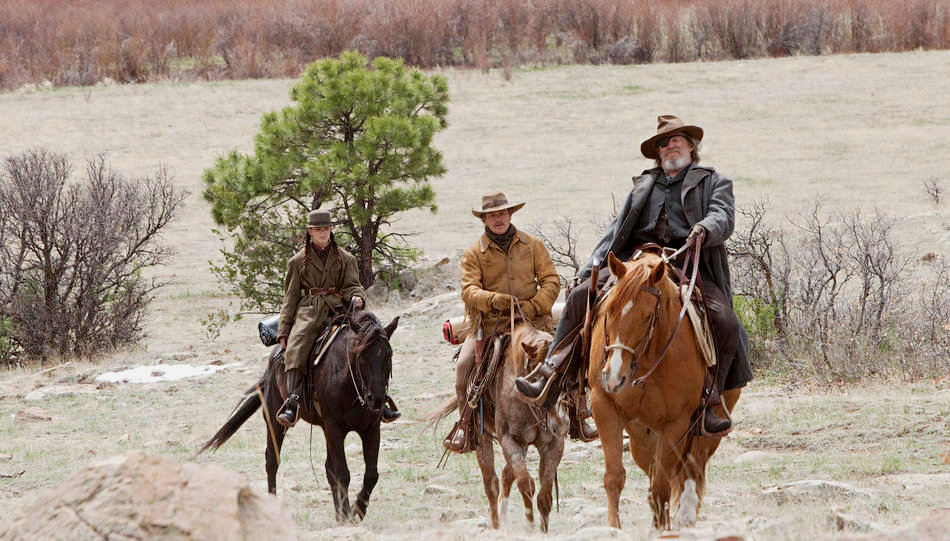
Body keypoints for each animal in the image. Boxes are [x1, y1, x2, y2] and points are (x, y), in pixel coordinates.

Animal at [428, 320, 568, 532]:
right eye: (539, 378)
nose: (559, 423)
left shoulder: (553, 444)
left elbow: (544, 496)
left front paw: (542, 531)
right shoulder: (509, 439)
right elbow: (526, 483)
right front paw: (529, 526)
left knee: (505, 474)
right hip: (481, 436)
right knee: (491, 483)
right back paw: (496, 525)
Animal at [588, 251, 744, 528]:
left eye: (648, 316)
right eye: (609, 310)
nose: (614, 376)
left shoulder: (675, 424)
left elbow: (662, 487)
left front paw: (663, 528)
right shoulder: (604, 406)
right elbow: (615, 477)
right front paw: (614, 528)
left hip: (706, 430)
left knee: (693, 466)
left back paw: (685, 514)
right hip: (640, 437)